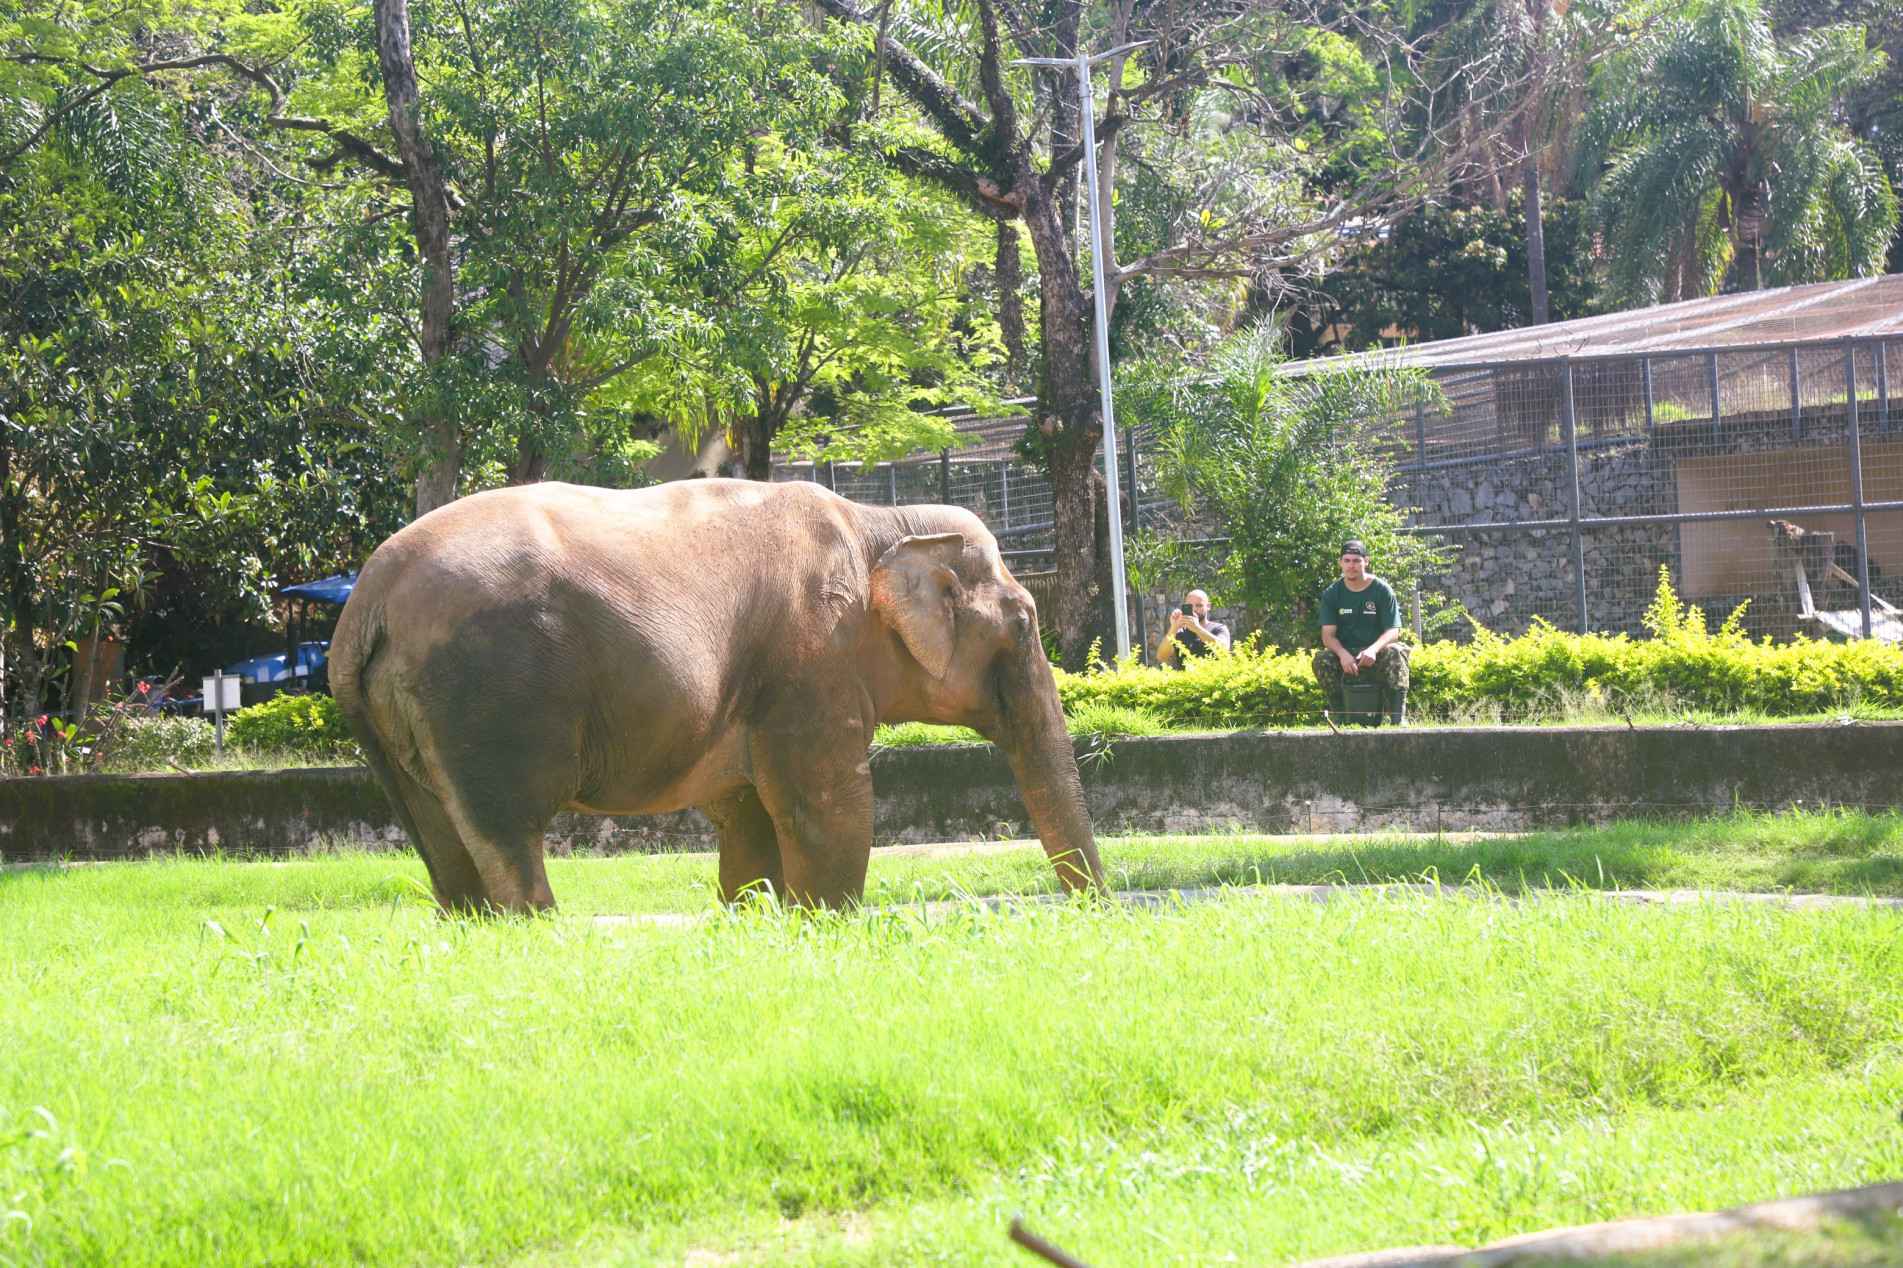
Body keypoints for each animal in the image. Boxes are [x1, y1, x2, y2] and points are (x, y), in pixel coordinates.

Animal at [328, 478, 1107, 913]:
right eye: (1026, 624)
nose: (1095, 916)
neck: (880, 522)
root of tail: (365, 601)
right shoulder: (811, 658)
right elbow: (828, 808)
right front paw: (823, 930)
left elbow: (749, 819)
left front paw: (750, 925)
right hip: (484, 699)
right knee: (507, 837)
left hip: (389, 725)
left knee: (441, 846)